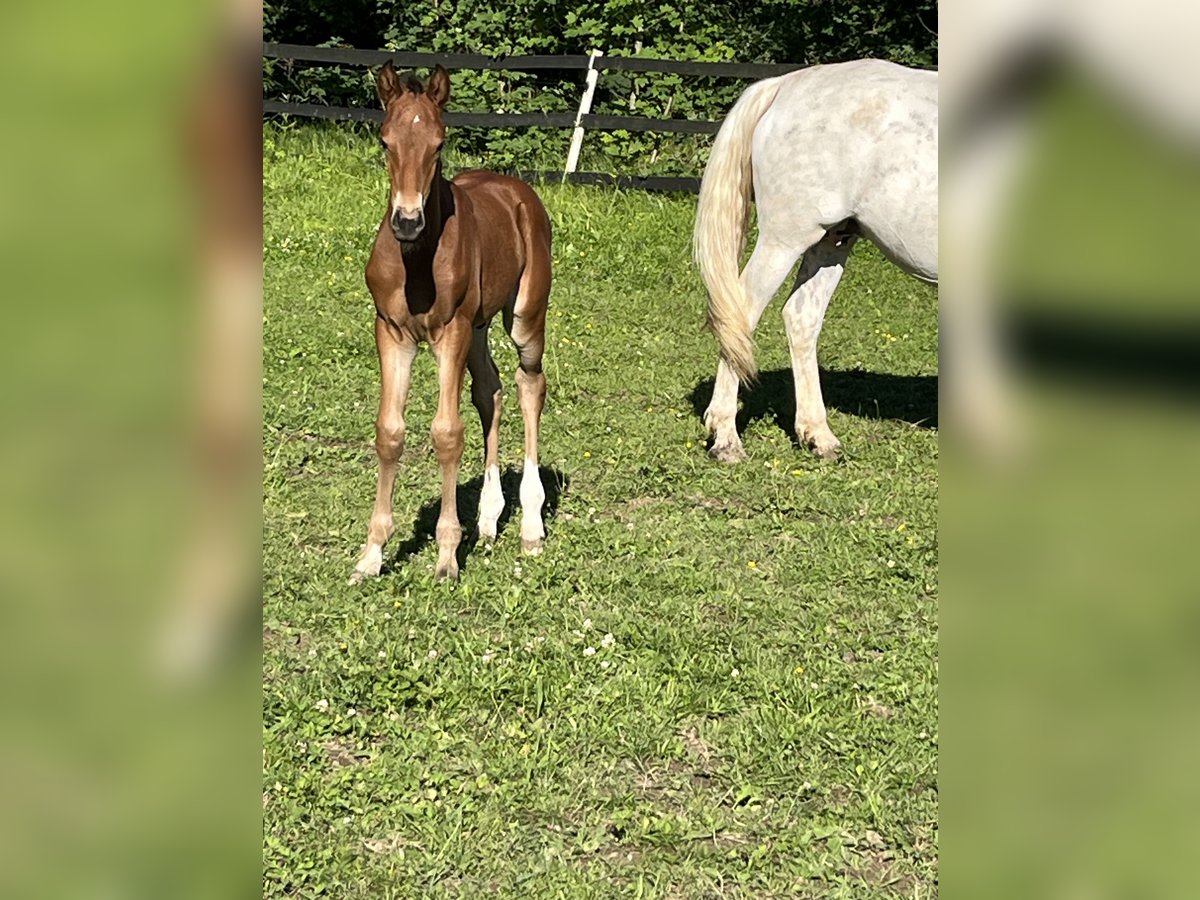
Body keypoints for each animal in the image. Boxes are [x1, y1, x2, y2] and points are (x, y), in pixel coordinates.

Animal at [350, 65, 549, 585]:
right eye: (384, 141)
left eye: (439, 144)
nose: (407, 221)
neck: (417, 261)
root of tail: (517, 191)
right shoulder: (391, 332)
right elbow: (389, 432)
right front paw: (371, 554)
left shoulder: (450, 332)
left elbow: (446, 433)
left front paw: (445, 556)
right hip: (478, 327)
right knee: (490, 390)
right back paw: (488, 520)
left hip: (524, 318)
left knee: (529, 384)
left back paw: (531, 526)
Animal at [696, 60, 936, 460]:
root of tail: (785, 85)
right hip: (785, 240)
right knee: (739, 316)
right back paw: (726, 438)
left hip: (831, 242)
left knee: (801, 317)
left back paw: (818, 436)